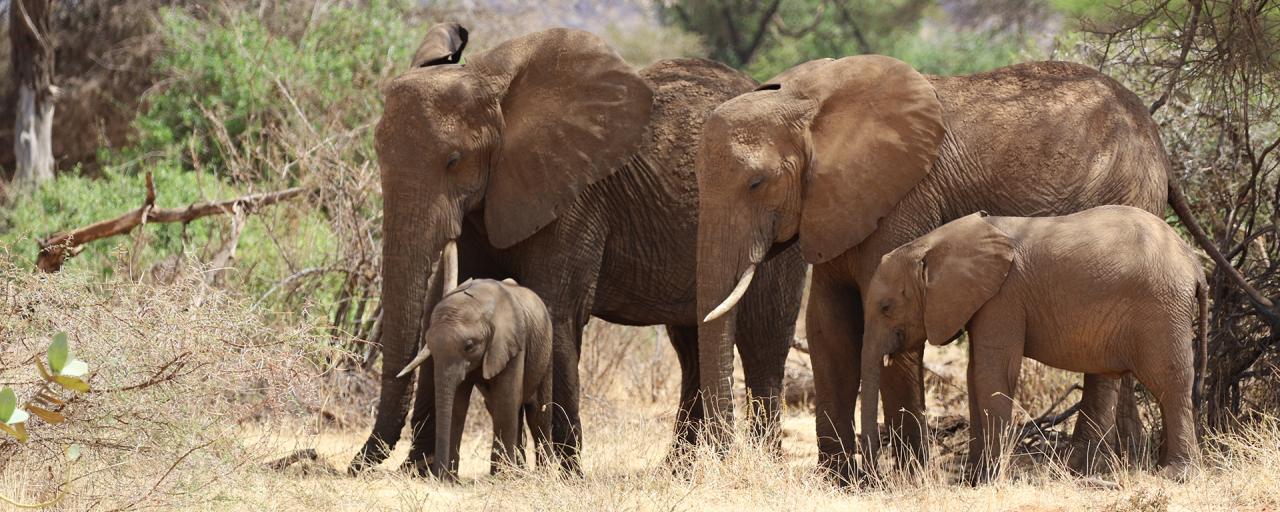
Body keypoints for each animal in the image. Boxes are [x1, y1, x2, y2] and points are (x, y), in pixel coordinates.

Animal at [396, 277, 552, 481]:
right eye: (429, 344)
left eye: (469, 346)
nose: (436, 474)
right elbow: (457, 405)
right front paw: (449, 481)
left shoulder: (512, 343)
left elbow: (506, 400)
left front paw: (503, 479)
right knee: (500, 409)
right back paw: (518, 473)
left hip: (545, 351)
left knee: (538, 413)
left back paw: (542, 475)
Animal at [855, 204, 1203, 483]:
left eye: (886, 307)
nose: (876, 479)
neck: (933, 243)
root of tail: (1193, 260)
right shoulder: (985, 301)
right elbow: (974, 374)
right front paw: (974, 479)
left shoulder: (1004, 296)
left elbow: (993, 373)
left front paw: (989, 479)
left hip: (1163, 307)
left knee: (1170, 384)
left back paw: (1175, 474)